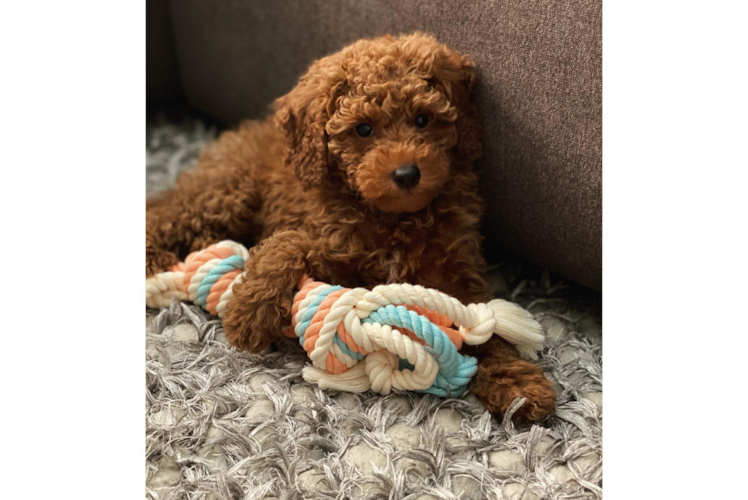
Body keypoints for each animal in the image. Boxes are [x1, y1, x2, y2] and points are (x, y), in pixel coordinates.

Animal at [146, 33, 556, 420]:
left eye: (423, 120)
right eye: (363, 129)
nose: (406, 174)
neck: (393, 219)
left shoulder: (457, 273)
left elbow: (487, 326)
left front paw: (517, 384)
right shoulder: (331, 245)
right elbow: (288, 242)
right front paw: (251, 311)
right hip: (228, 193)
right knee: (167, 212)